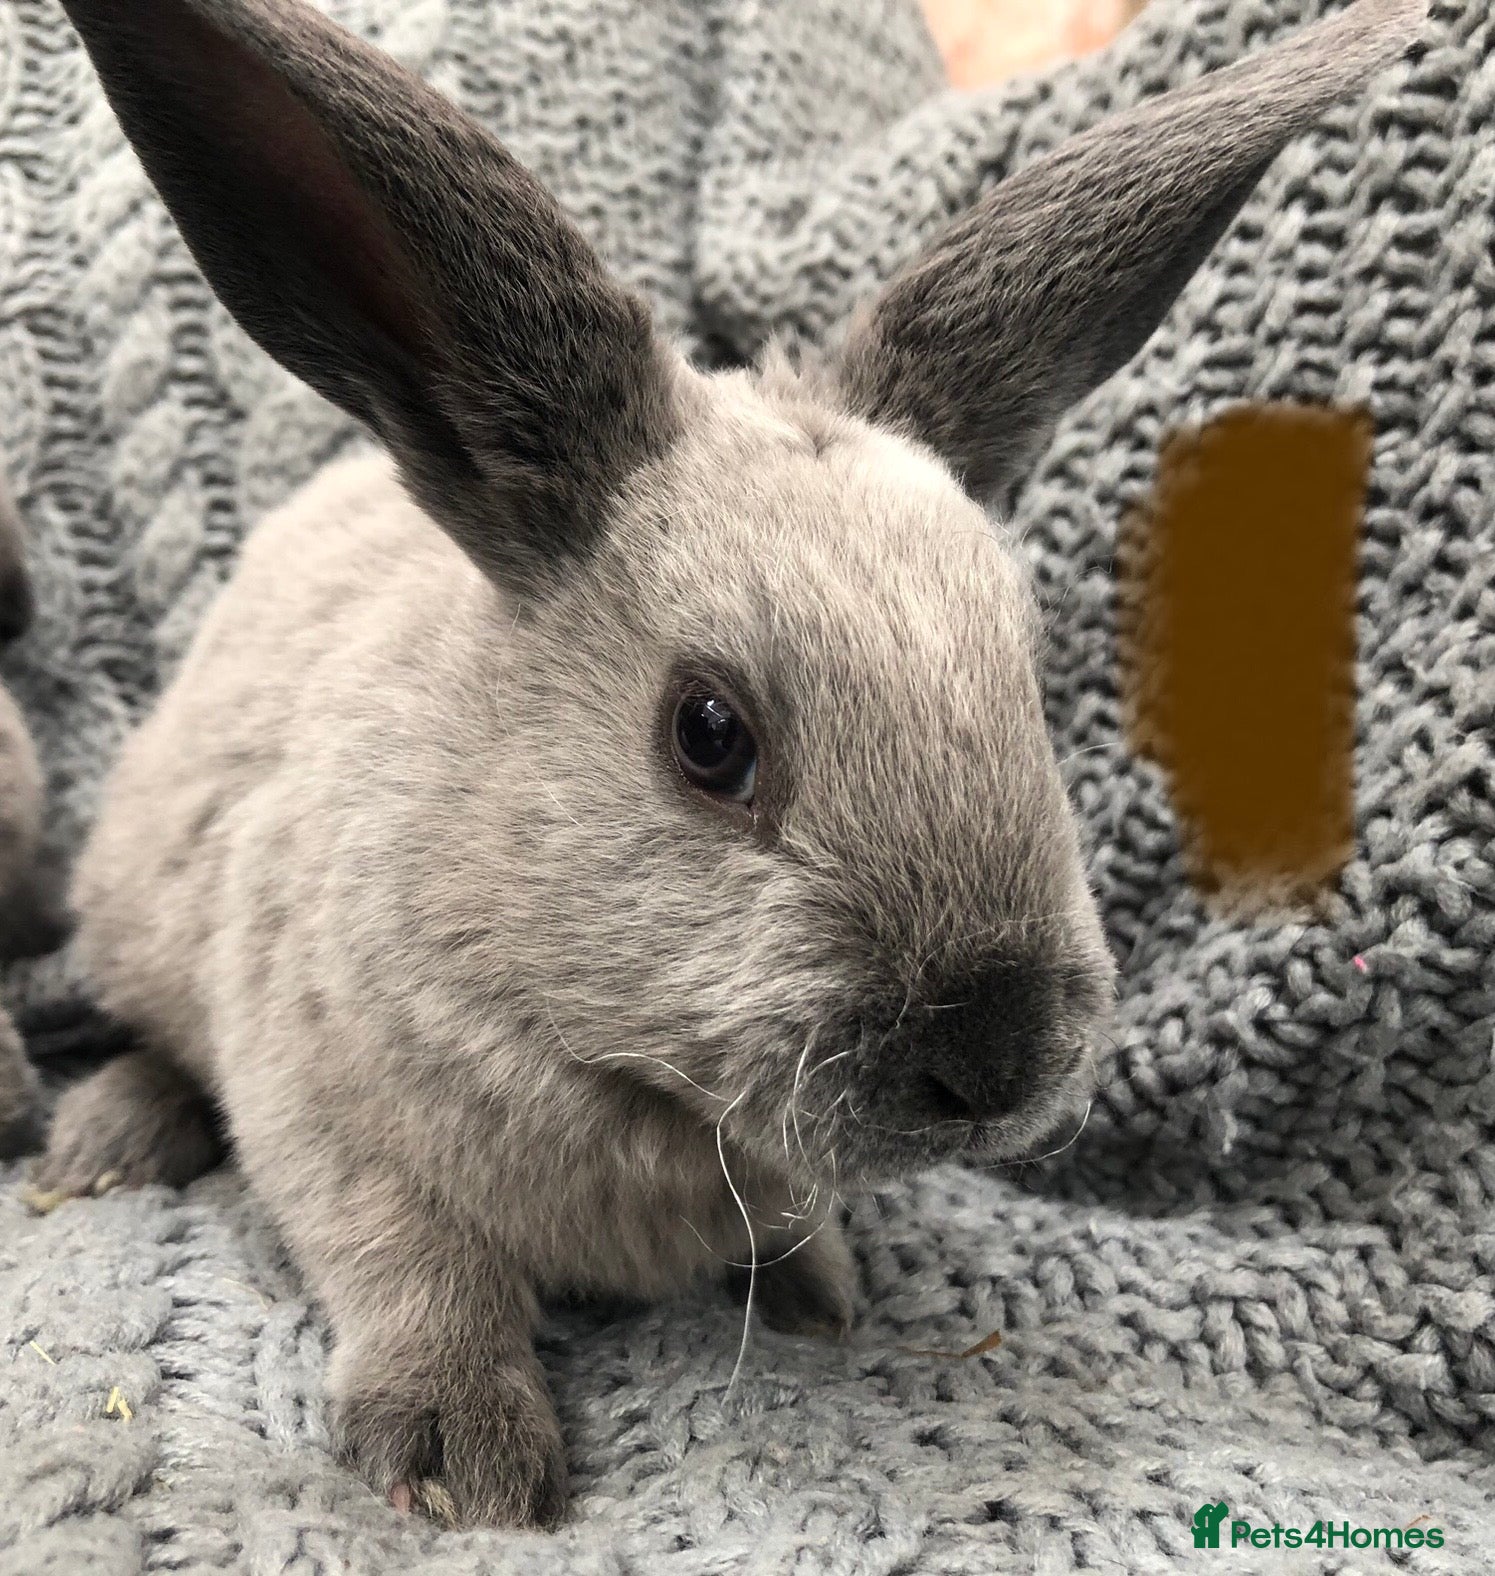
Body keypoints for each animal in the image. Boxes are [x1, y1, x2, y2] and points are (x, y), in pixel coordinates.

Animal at [41, 0, 1425, 1531]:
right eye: (706, 734)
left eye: (1027, 673)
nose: (992, 1055)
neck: (634, 1072)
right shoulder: (323, 1108)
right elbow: (414, 1266)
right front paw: (464, 1460)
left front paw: (823, 1296)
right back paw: (103, 1146)